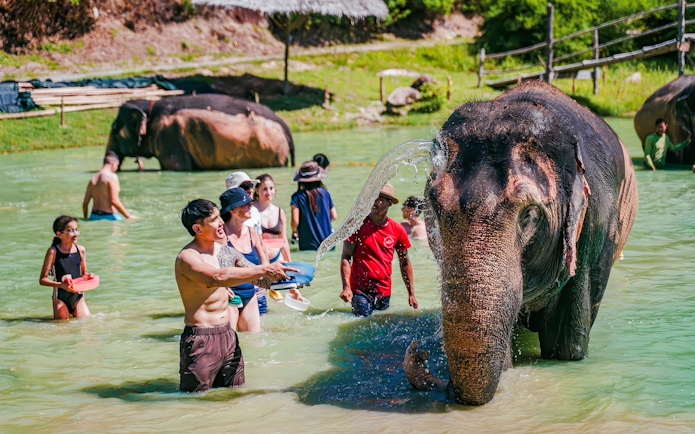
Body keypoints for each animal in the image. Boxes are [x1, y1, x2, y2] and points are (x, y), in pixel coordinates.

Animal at [106, 94, 295, 171]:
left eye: (115, 129)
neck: (149, 105)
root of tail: (286, 128)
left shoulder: (170, 140)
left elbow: (175, 166)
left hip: (273, 150)